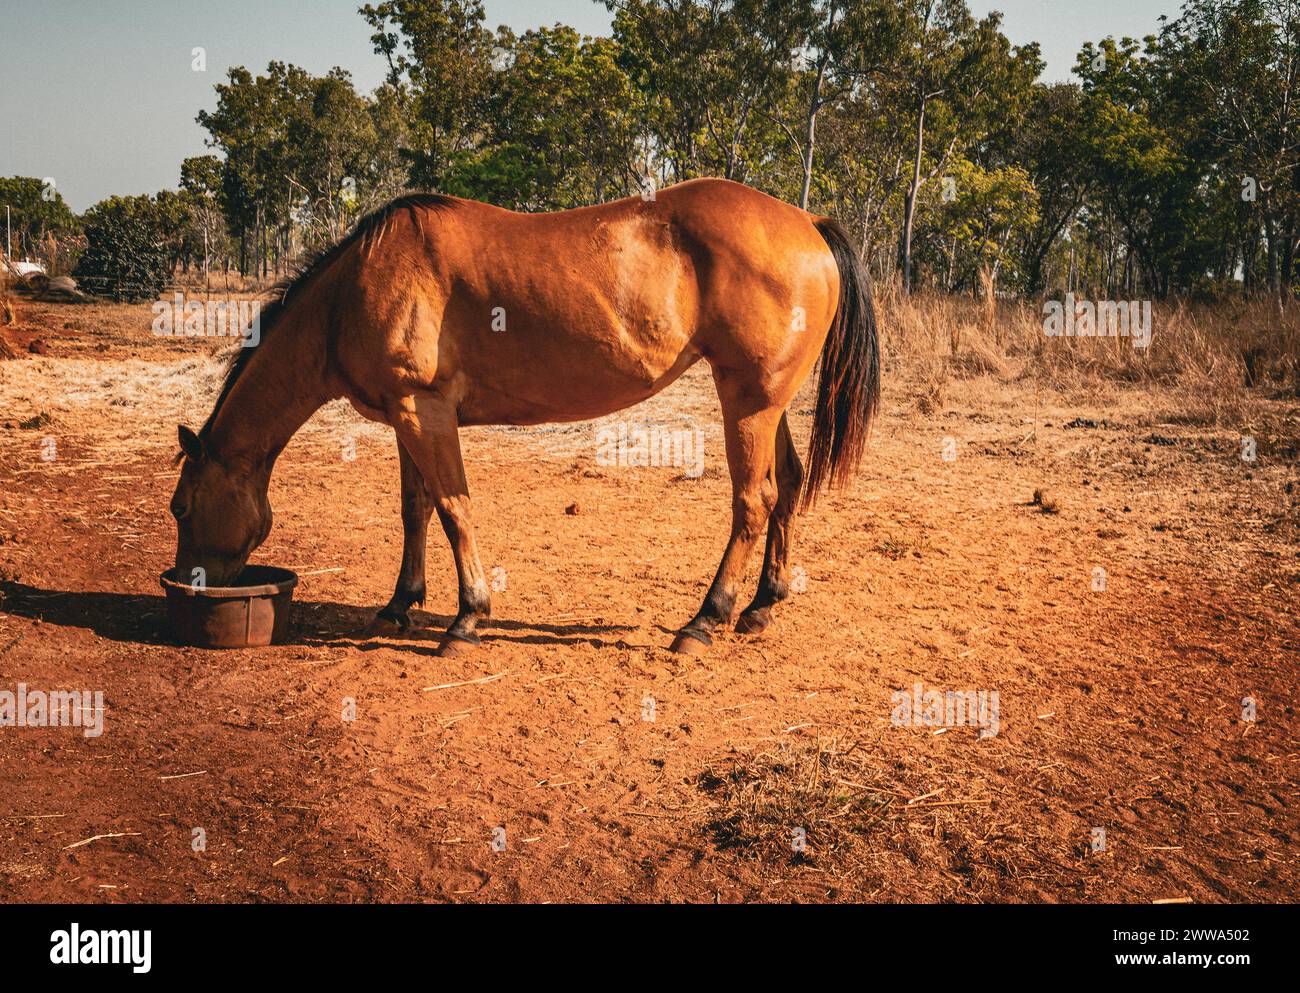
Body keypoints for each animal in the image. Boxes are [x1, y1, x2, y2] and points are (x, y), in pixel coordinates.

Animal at [172, 179, 878, 655]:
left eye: (181, 508)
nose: (189, 583)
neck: (355, 289)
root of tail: (808, 222)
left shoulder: (424, 411)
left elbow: (453, 509)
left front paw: (466, 619)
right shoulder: (406, 417)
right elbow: (415, 510)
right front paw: (401, 603)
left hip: (748, 403)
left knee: (753, 501)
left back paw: (706, 619)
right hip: (766, 403)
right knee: (788, 486)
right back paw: (761, 606)